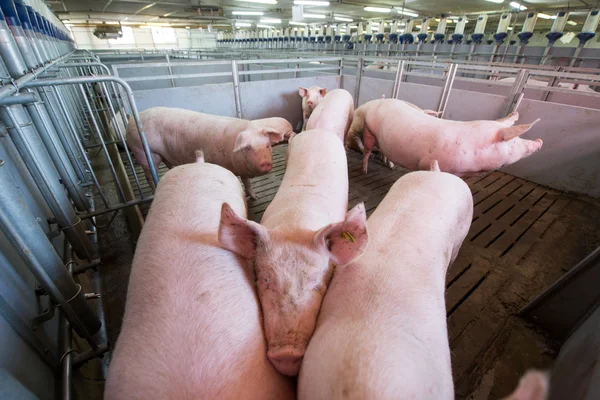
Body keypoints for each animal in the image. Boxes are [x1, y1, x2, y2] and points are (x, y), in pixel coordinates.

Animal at [127, 108, 286, 198]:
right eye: (248, 148)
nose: (266, 163)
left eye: (267, 146)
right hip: (141, 151)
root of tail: (131, 121)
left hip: (162, 154)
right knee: (149, 176)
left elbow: (247, 183)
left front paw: (255, 197)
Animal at [350, 98, 540, 175]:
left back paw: (390, 166)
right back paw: (364, 170)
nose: (539, 141)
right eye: (513, 141)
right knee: (367, 151)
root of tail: (380, 102)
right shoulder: (425, 162)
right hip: (369, 131)